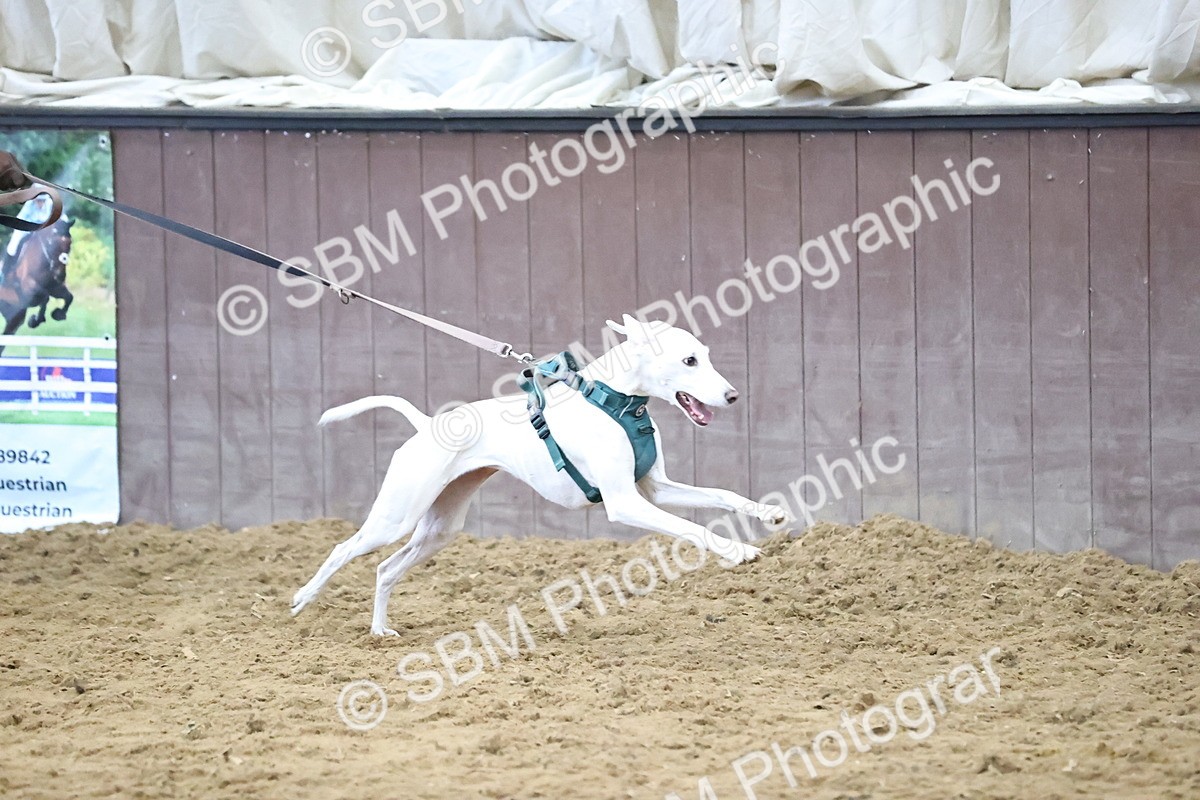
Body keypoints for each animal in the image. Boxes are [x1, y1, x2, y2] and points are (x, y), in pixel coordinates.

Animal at [0, 217, 74, 355]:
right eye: (50, 243)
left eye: (70, 243)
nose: (60, 275)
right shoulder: (29, 290)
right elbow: (45, 298)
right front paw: (35, 320)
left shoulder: (55, 288)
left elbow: (69, 297)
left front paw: (58, 314)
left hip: (14, 315)